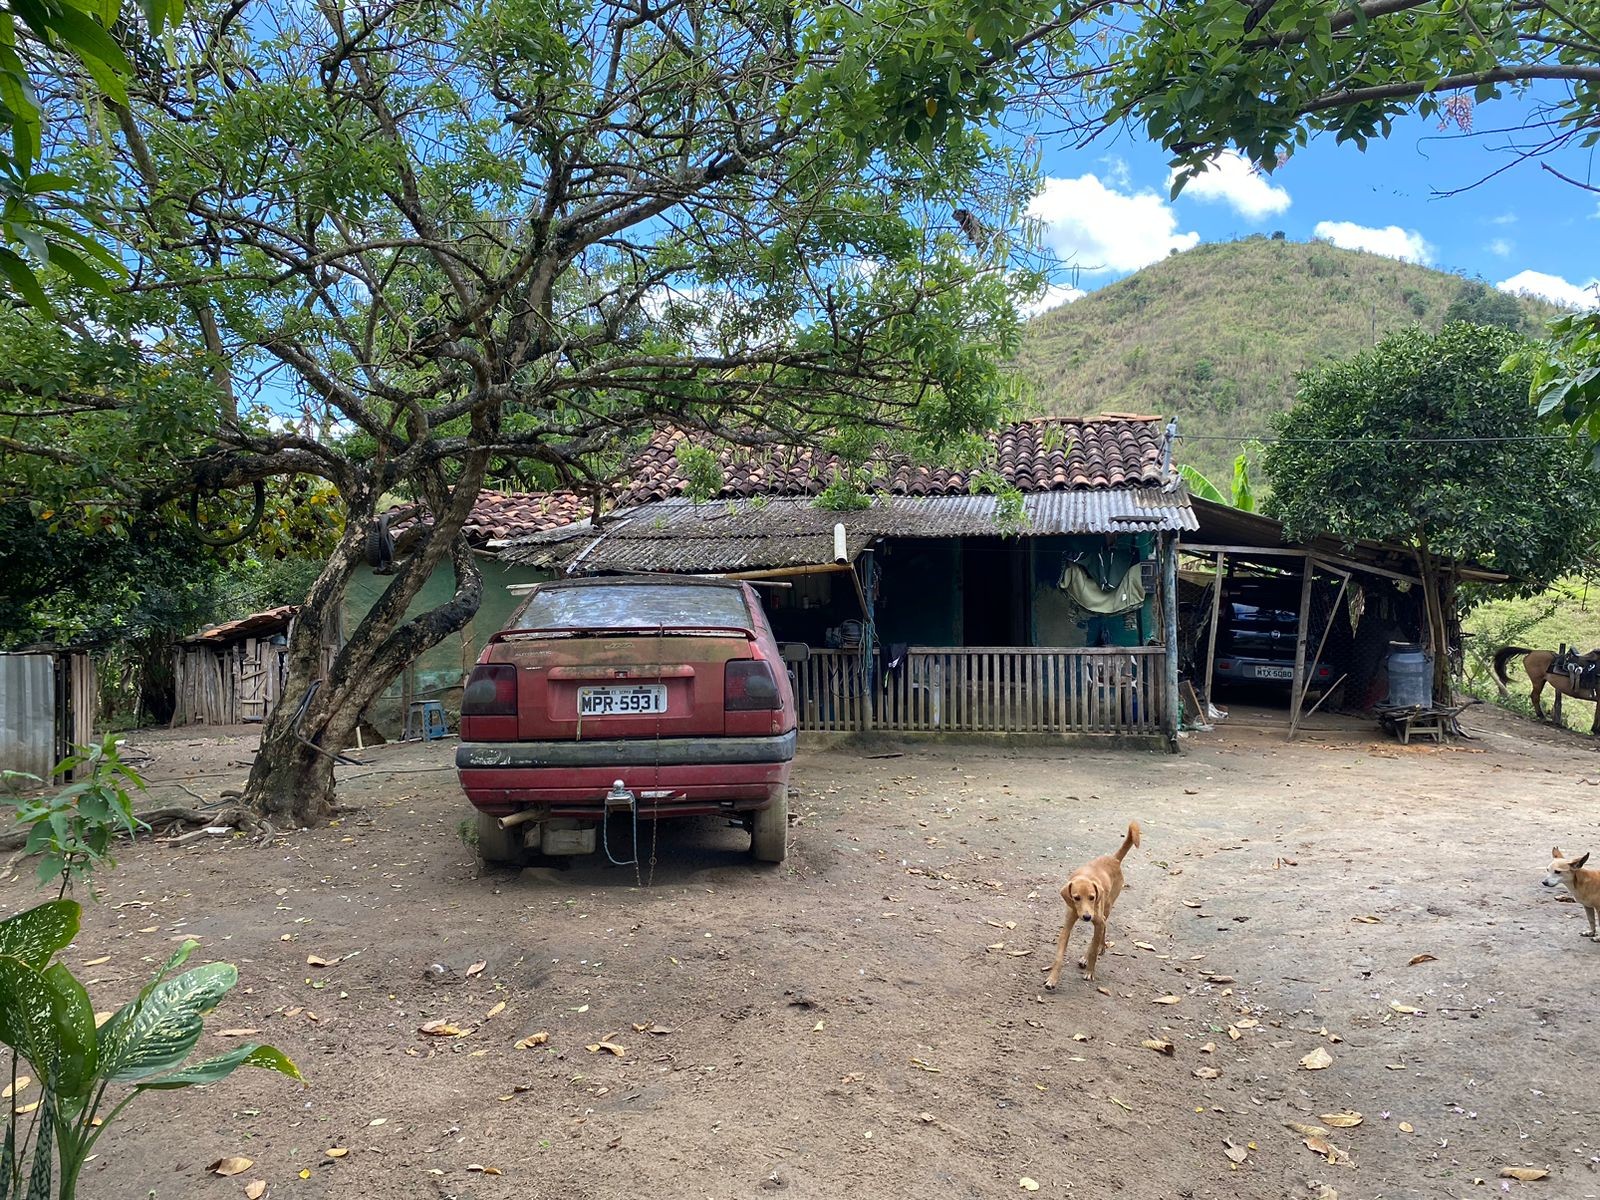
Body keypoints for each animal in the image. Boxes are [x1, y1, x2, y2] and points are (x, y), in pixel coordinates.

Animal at [1043, 825, 1145, 992]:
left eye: (1091, 897)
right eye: (1076, 898)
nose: (1086, 917)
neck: (1085, 876)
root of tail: (1114, 859)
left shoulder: (1097, 919)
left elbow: (1094, 949)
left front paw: (1090, 971)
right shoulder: (1067, 926)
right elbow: (1059, 956)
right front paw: (1052, 979)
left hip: (1106, 908)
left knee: (1101, 930)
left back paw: (1094, 952)